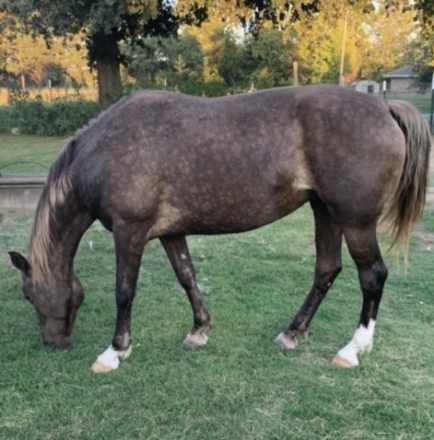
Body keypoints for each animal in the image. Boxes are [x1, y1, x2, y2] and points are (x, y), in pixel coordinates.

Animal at [8, 83, 428, 372]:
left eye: (28, 296)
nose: (53, 342)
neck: (105, 150)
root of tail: (384, 106)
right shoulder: (168, 232)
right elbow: (187, 276)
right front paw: (199, 329)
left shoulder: (130, 231)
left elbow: (124, 291)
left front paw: (115, 350)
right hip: (324, 210)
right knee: (327, 269)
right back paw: (292, 332)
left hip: (355, 221)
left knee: (372, 276)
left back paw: (352, 349)